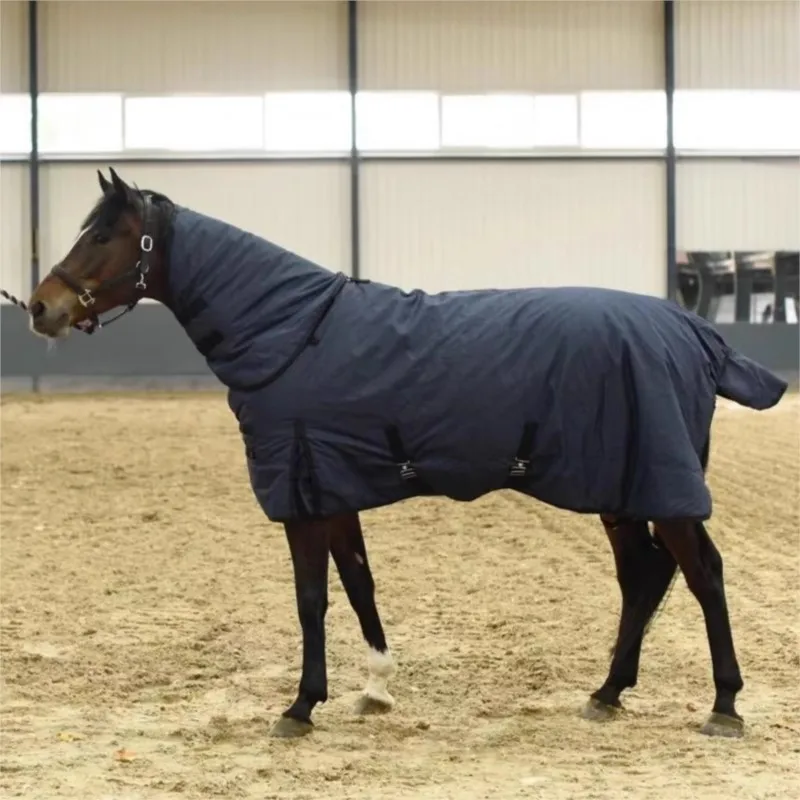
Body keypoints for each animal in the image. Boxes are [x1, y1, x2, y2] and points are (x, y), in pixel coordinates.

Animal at [24, 167, 787, 740]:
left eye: (104, 234)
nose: (39, 307)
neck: (294, 331)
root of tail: (693, 331)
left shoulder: (302, 496)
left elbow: (310, 598)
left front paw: (300, 706)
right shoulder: (332, 487)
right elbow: (359, 584)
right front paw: (376, 689)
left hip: (659, 488)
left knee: (703, 575)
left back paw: (723, 705)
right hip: (622, 488)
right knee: (644, 576)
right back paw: (606, 692)